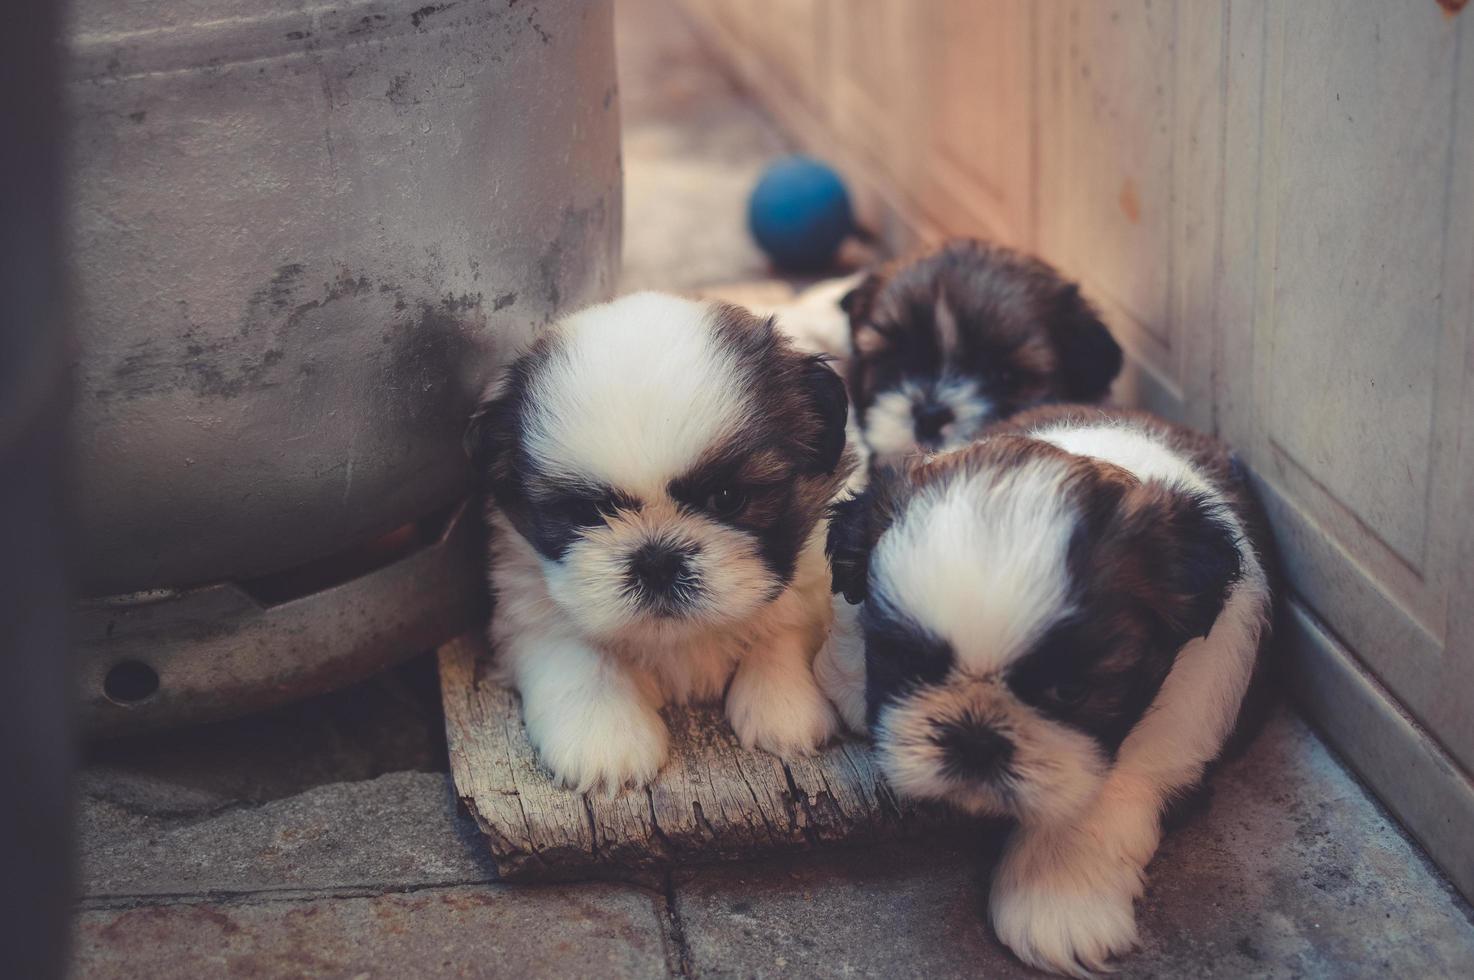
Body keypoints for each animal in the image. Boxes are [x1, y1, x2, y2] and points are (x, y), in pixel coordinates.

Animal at [459, 291, 854, 795]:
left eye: (728, 498)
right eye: (588, 513)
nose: (658, 561)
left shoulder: (810, 579)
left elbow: (783, 626)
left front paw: (783, 704)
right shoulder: (528, 604)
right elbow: (576, 654)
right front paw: (603, 736)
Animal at [825, 403, 1273, 972]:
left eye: (1070, 692)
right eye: (905, 662)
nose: (975, 739)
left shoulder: (1180, 722)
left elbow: (1102, 795)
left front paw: (1058, 899)